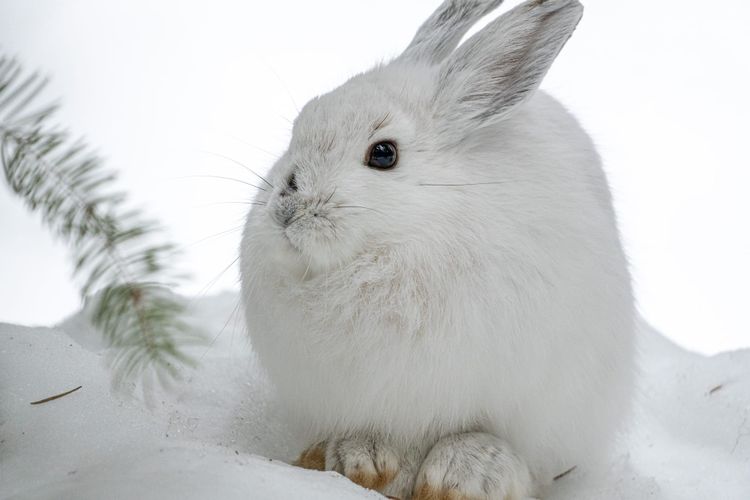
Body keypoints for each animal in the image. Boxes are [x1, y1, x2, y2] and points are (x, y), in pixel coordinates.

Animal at [239, 0, 635, 498]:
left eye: (383, 154)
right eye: (301, 124)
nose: (286, 207)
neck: (397, 241)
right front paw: (366, 459)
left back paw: (468, 471)